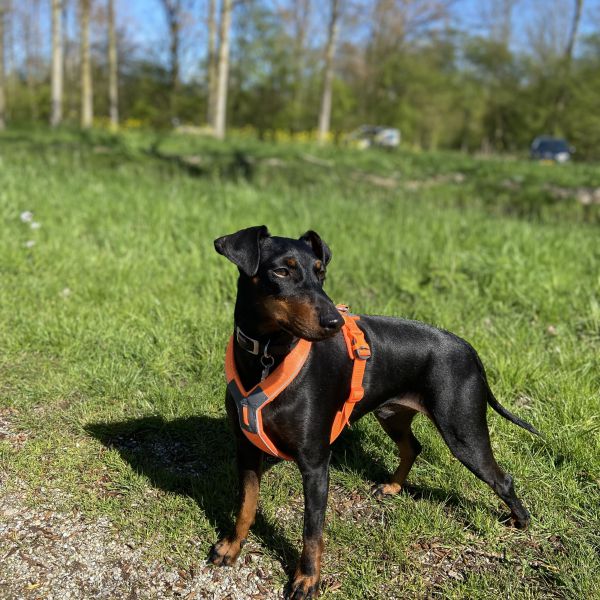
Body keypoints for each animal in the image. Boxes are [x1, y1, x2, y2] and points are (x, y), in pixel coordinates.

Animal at [209, 226, 536, 600]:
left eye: (320, 272)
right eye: (281, 271)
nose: (334, 321)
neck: (266, 355)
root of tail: (469, 349)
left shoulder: (315, 463)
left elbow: (312, 531)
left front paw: (307, 579)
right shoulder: (246, 447)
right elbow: (246, 505)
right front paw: (232, 547)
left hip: (463, 432)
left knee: (502, 478)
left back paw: (521, 522)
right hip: (392, 414)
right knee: (413, 447)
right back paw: (393, 487)